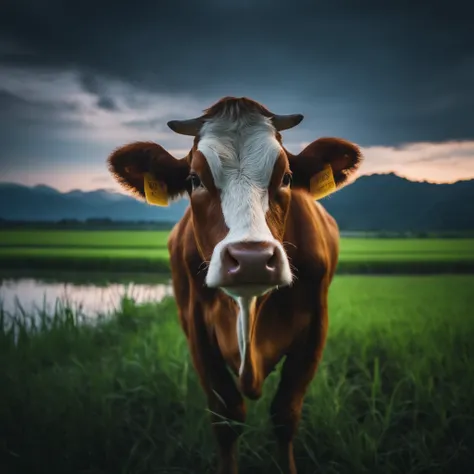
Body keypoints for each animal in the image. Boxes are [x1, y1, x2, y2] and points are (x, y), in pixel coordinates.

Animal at [106, 97, 360, 474]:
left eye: (286, 177)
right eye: (194, 179)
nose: (251, 258)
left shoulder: (316, 326)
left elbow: (285, 414)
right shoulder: (196, 328)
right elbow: (227, 418)